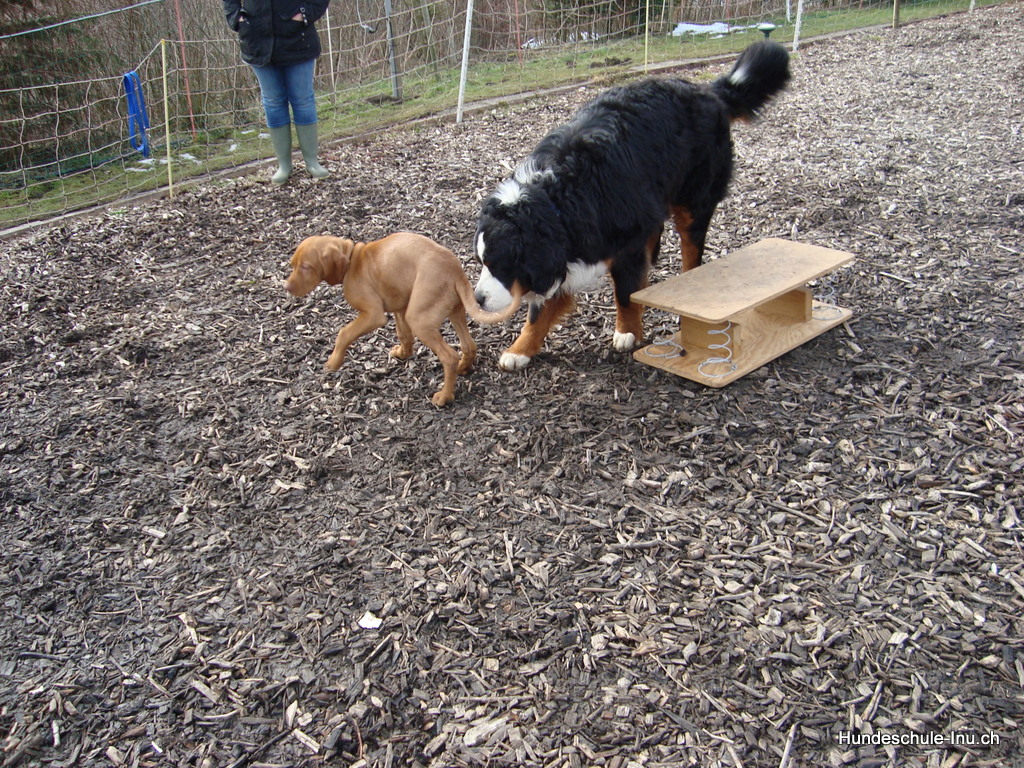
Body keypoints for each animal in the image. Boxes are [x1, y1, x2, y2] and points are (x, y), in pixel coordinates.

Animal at [285, 233, 523, 406]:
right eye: (293, 265)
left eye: (306, 266)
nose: (286, 287)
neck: (352, 259)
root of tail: (455, 271)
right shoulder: (399, 307)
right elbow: (403, 334)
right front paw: (402, 353)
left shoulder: (373, 315)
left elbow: (344, 333)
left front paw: (334, 362)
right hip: (453, 311)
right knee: (469, 345)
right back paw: (463, 368)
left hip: (420, 319)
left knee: (449, 356)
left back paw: (444, 396)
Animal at [473, 40, 790, 370]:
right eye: (481, 261)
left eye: (498, 265)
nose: (478, 299)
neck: (559, 199)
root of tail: (704, 90)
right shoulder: (562, 255)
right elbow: (539, 311)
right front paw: (520, 349)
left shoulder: (621, 246)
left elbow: (625, 293)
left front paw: (627, 332)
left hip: (693, 201)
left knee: (691, 250)